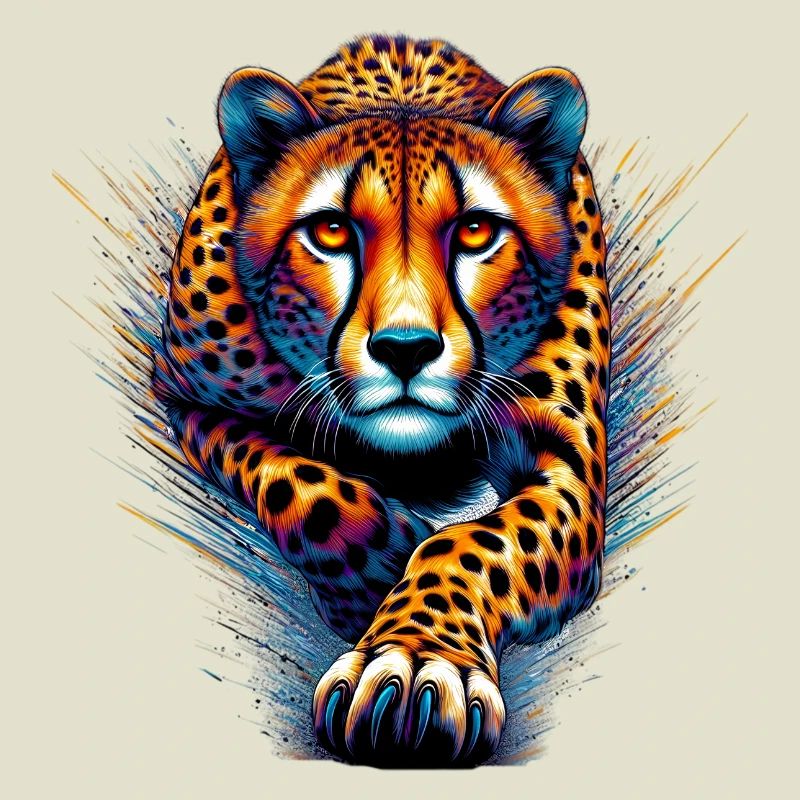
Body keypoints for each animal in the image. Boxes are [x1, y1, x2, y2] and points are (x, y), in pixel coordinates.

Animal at [153, 34, 610, 767]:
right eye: (331, 232)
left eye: (476, 231)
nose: (404, 348)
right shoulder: (188, 398)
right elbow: (298, 482)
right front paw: (379, 568)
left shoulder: (568, 460)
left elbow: (473, 542)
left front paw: (415, 661)